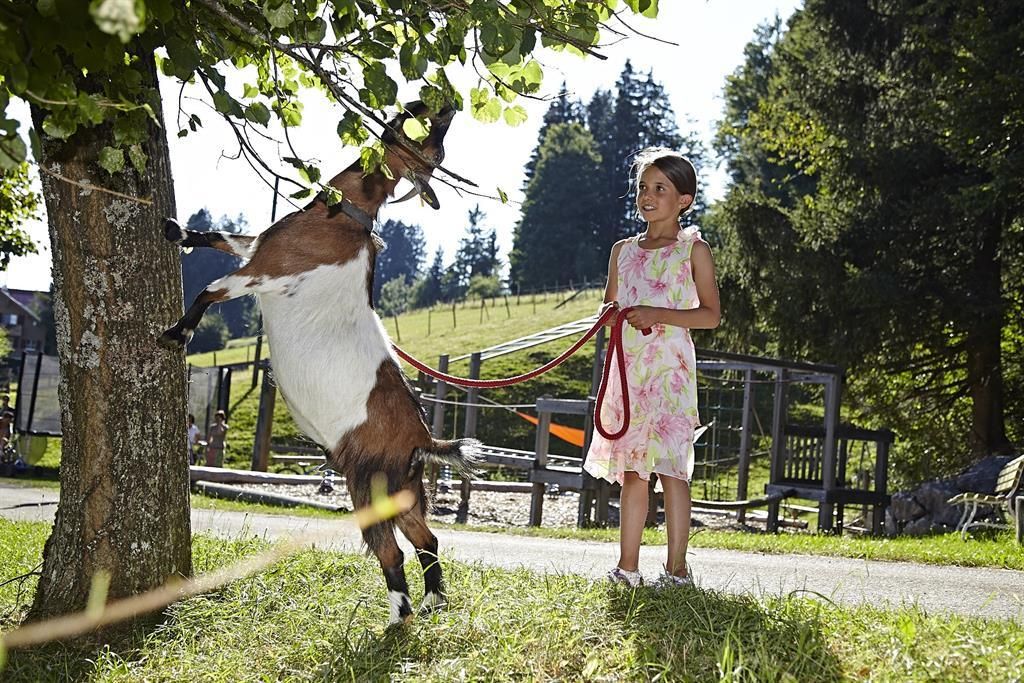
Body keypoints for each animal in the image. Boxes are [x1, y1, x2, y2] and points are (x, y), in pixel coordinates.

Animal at [159, 102, 479, 624]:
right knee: (427, 538)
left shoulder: (262, 271)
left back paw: (398, 618)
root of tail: (424, 440)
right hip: (405, 493)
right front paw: (177, 229)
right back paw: (433, 601)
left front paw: (177, 333)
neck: (340, 214)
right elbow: (223, 236)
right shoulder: (256, 246)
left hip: (368, 486)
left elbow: (208, 290)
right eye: (436, 140)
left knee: (391, 551)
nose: (445, 104)